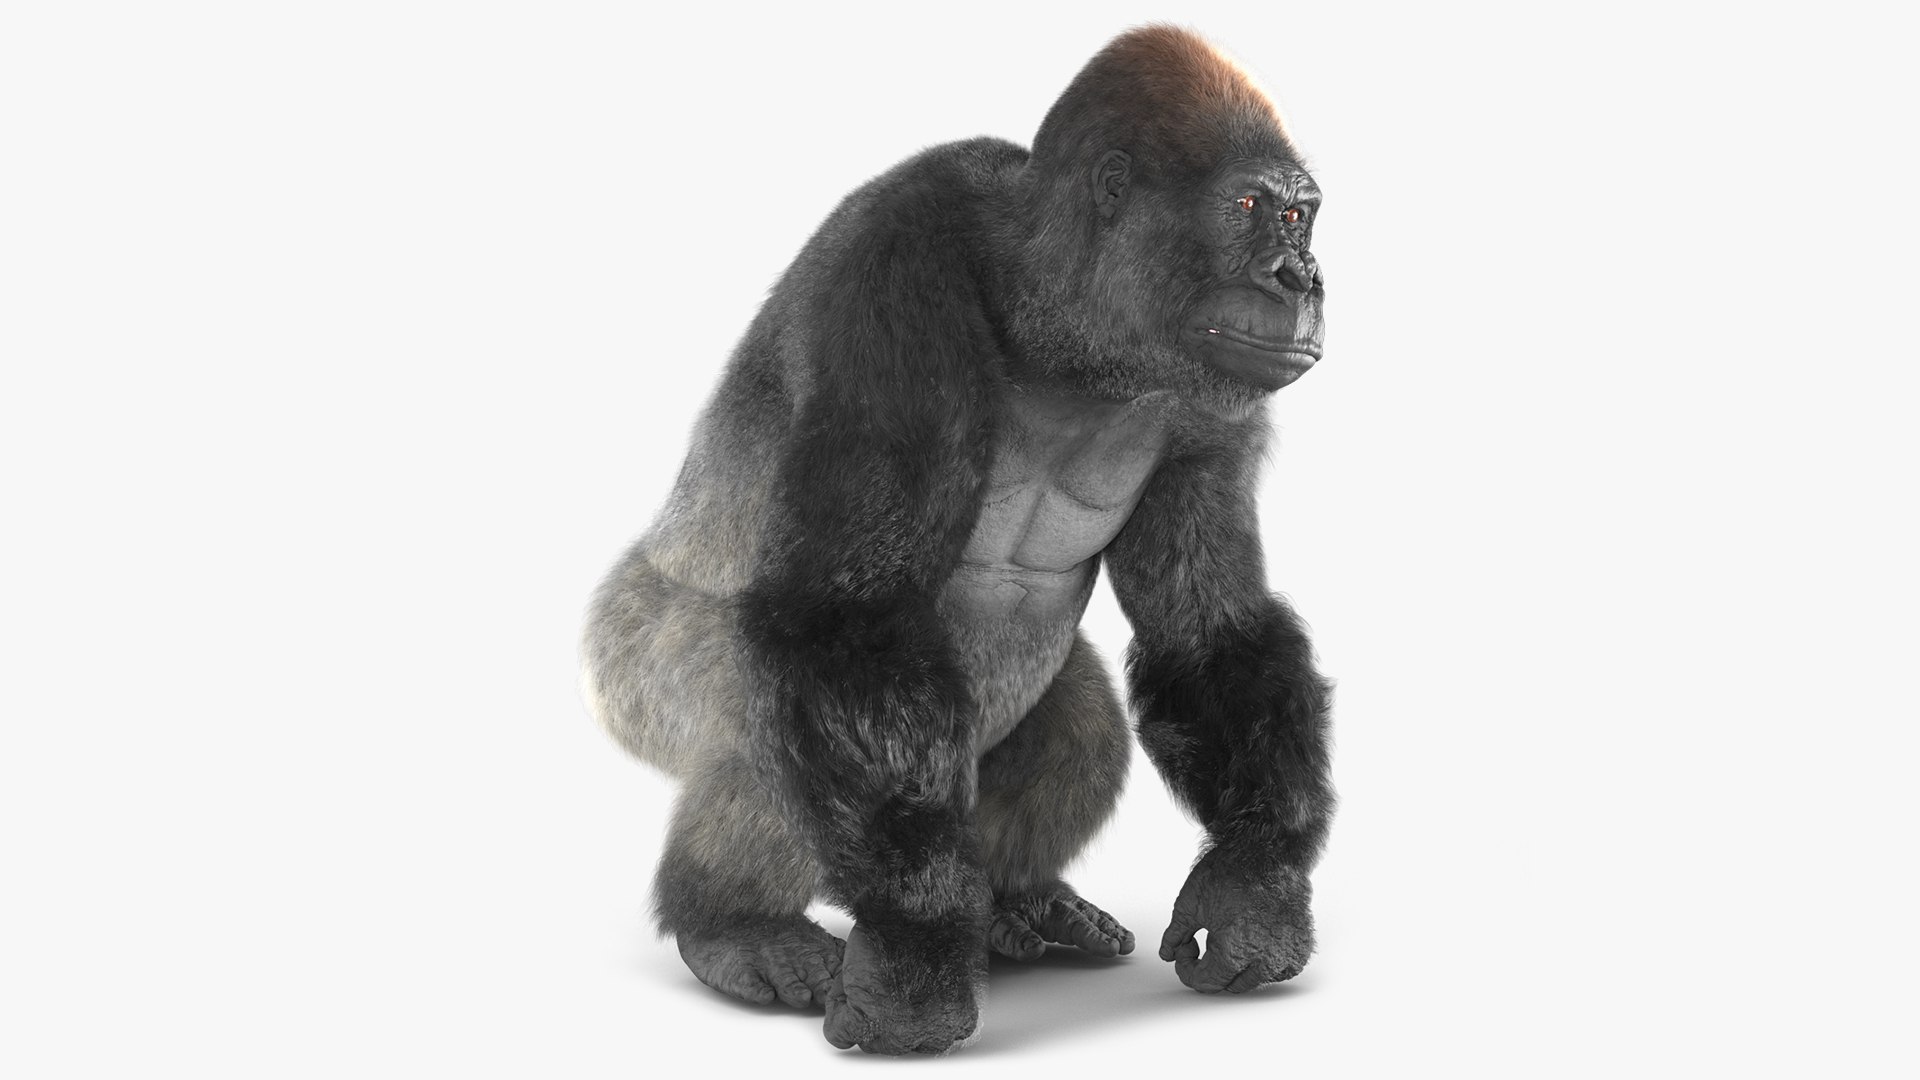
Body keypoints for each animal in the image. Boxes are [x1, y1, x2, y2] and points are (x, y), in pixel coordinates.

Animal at [581, 25, 1335, 1055]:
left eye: (1300, 218)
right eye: (1252, 208)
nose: (1301, 277)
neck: (1055, 321)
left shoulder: (1211, 398)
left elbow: (1211, 629)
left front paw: (1254, 887)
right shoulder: (893, 279)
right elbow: (849, 620)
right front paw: (913, 963)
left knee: (1080, 728)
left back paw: (1020, 903)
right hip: (629, 667)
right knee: (758, 701)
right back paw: (738, 926)